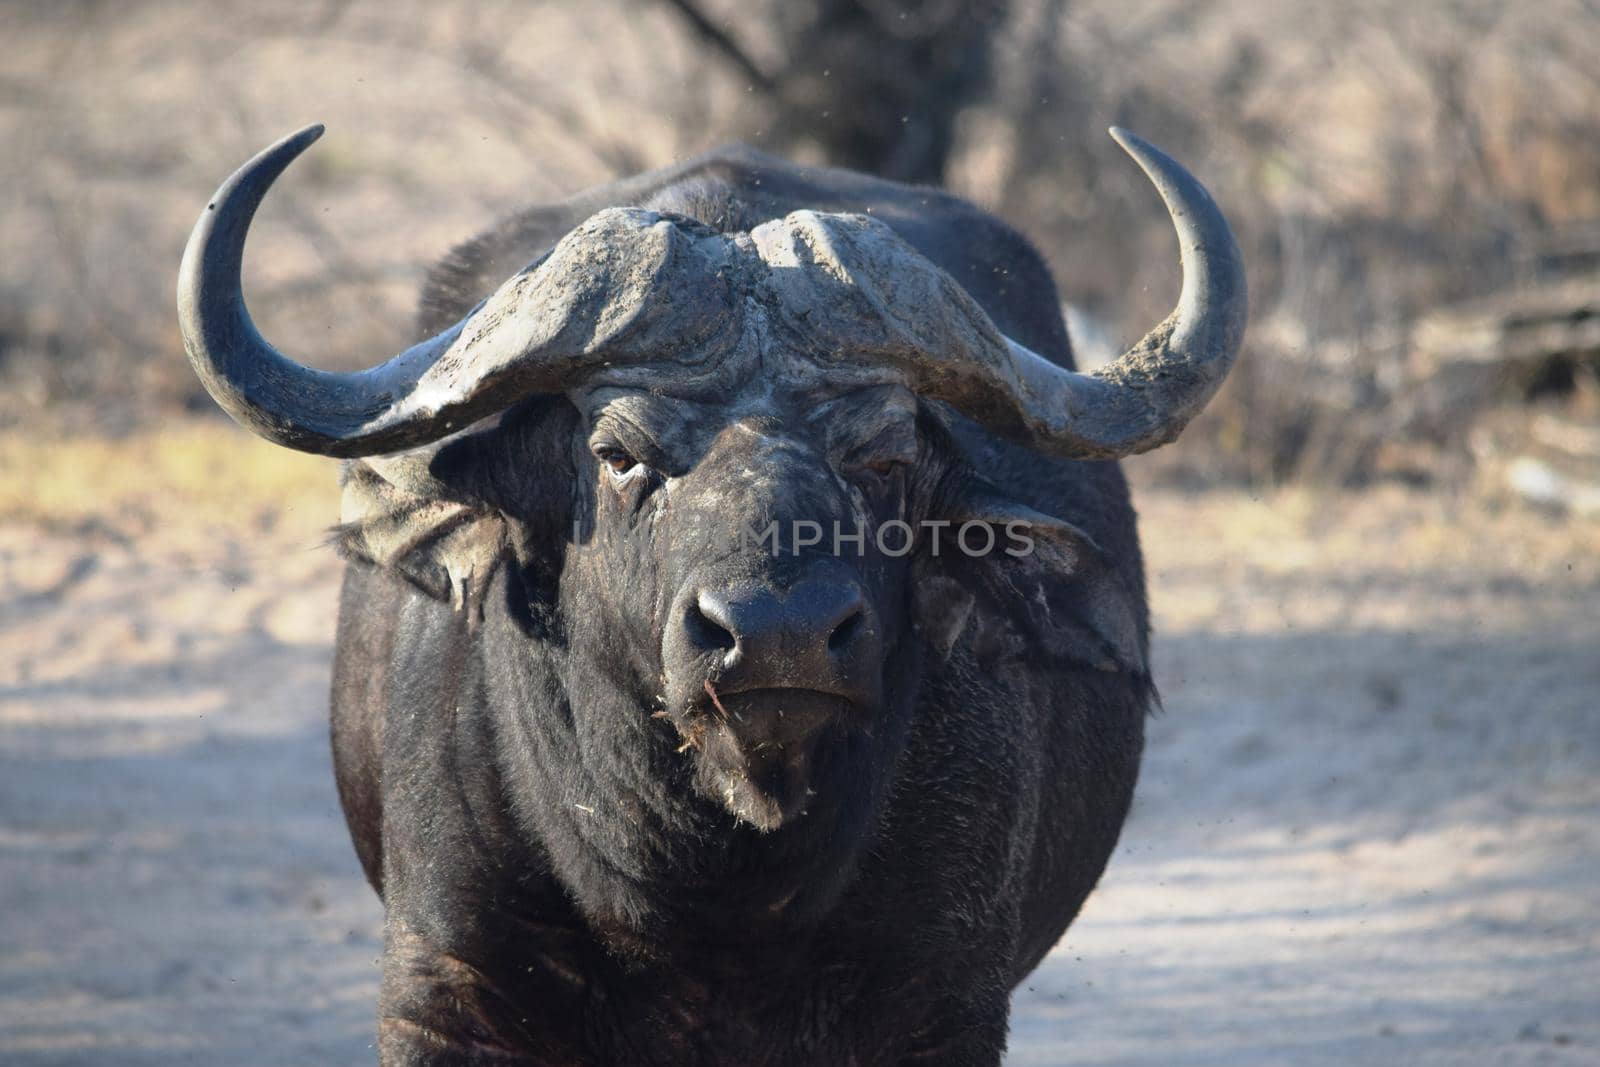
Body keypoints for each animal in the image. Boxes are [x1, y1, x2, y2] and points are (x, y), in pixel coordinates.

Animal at [178, 120, 1248, 1062]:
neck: (704, 895)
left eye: (886, 455)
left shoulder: (942, 1006)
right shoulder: (444, 989)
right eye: (617, 454)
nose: (780, 634)